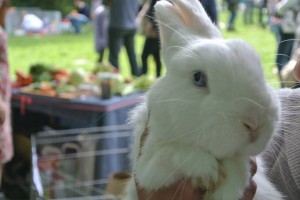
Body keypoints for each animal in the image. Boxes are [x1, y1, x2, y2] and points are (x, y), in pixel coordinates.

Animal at [125, 0, 284, 199]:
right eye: (198, 78)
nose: (254, 123)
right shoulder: (147, 169)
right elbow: (169, 153)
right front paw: (209, 171)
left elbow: (238, 165)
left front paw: (230, 185)